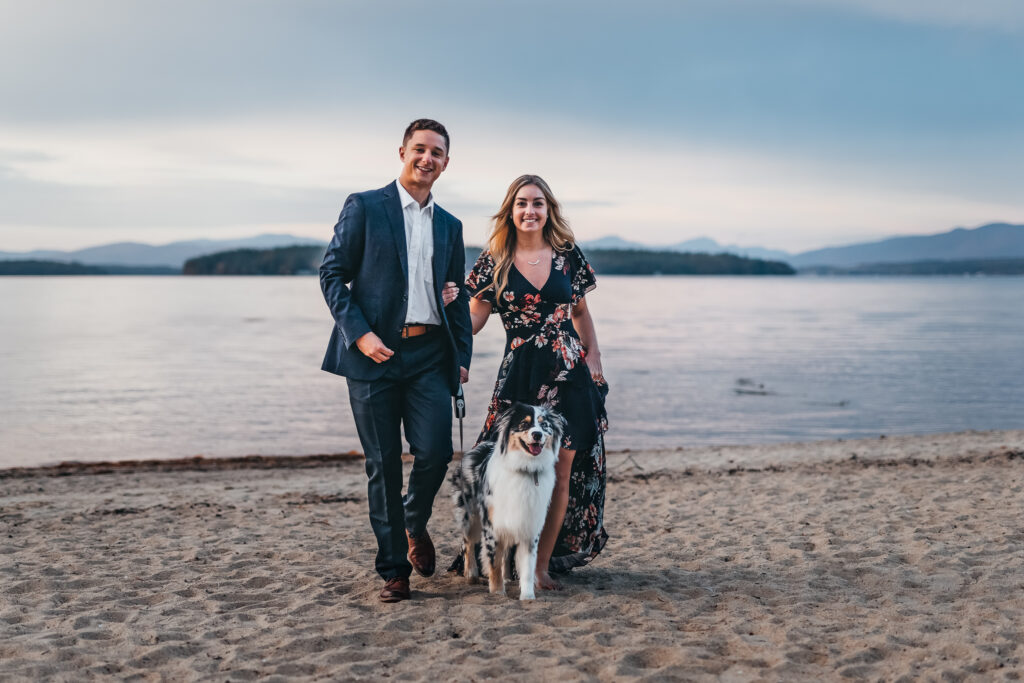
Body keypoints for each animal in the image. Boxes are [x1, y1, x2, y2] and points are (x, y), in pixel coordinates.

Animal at [452, 403, 569, 602]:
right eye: (524, 424)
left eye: (544, 425)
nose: (537, 435)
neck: (525, 469)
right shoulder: (492, 526)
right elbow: (494, 562)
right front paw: (498, 592)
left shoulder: (530, 527)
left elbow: (528, 566)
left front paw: (528, 596)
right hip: (471, 515)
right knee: (468, 542)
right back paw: (471, 574)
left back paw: (506, 577)